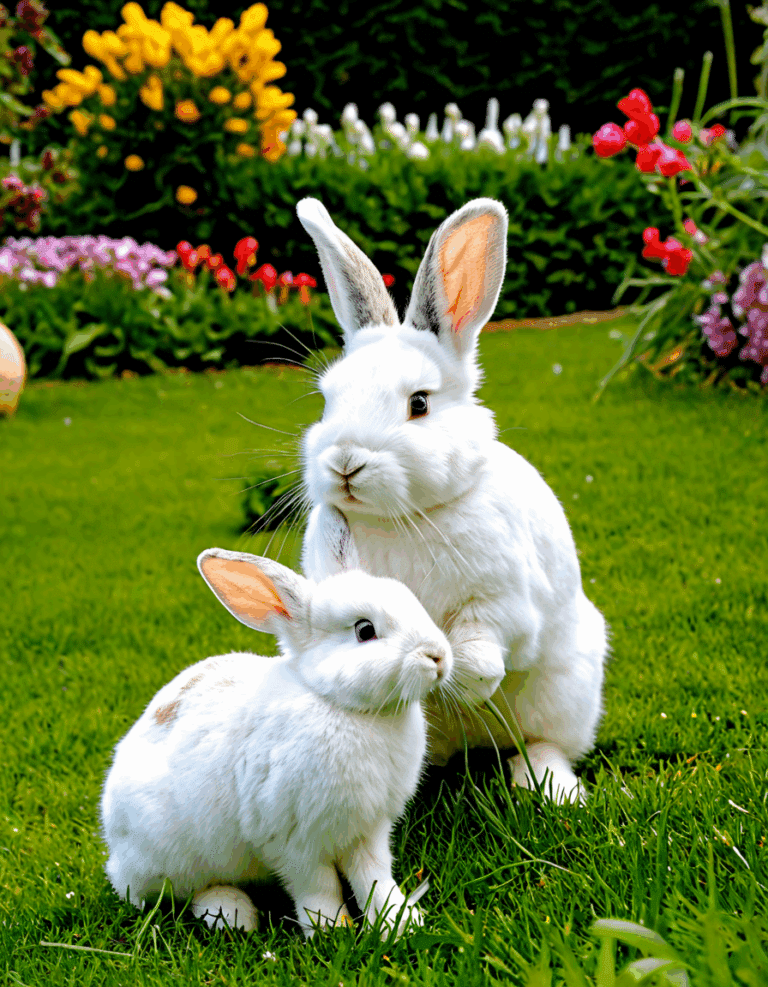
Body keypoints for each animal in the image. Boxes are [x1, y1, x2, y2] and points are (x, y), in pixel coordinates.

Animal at [100, 535, 453, 939]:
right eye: (365, 631)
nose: (438, 657)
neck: (342, 705)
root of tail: (114, 852)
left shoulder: (367, 831)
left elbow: (375, 879)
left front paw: (401, 924)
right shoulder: (292, 840)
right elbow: (318, 886)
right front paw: (331, 931)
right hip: (171, 857)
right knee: (180, 892)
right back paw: (232, 912)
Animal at [295, 196, 609, 803]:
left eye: (419, 403)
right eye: (326, 401)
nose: (345, 461)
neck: (401, 520)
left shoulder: (506, 600)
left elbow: (487, 641)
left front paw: (467, 680)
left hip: (566, 693)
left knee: (542, 743)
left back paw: (550, 787)